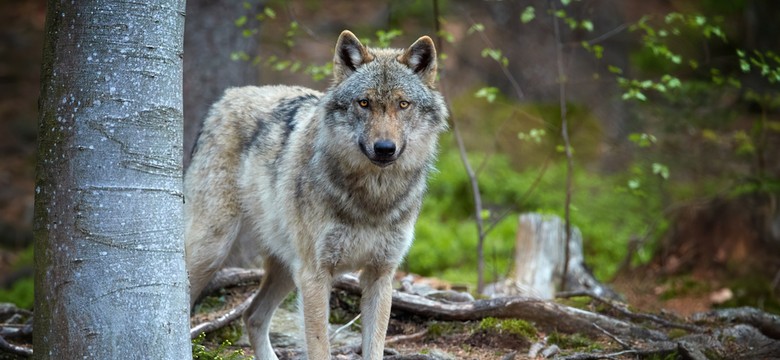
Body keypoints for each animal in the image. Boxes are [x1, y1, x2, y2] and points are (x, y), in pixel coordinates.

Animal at [185, 31, 448, 360]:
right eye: (364, 103)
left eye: (403, 104)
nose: (385, 148)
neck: (372, 199)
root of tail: (227, 97)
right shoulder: (315, 275)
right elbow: (320, 346)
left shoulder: (380, 275)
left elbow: (375, 347)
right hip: (212, 249)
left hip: (286, 267)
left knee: (252, 316)